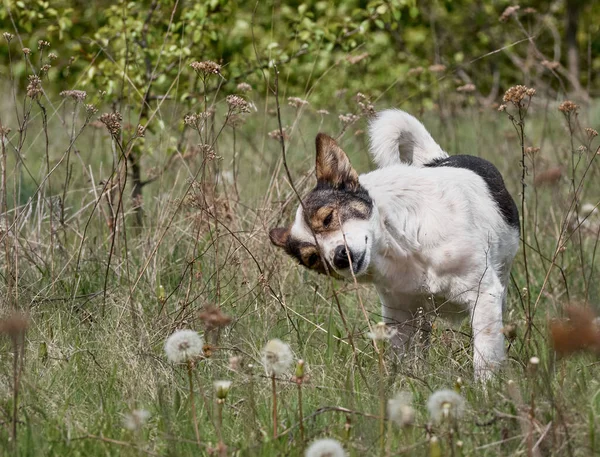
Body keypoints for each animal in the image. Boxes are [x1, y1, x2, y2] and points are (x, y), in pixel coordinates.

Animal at [270, 108, 516, 380]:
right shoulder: (400, 315)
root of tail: (439, 158)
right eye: (312, 258)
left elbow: (485, 359)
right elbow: (403, 360)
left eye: (327, 218)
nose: (339, 257)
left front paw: (486, 387)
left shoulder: (484, 296)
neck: (403, 250)